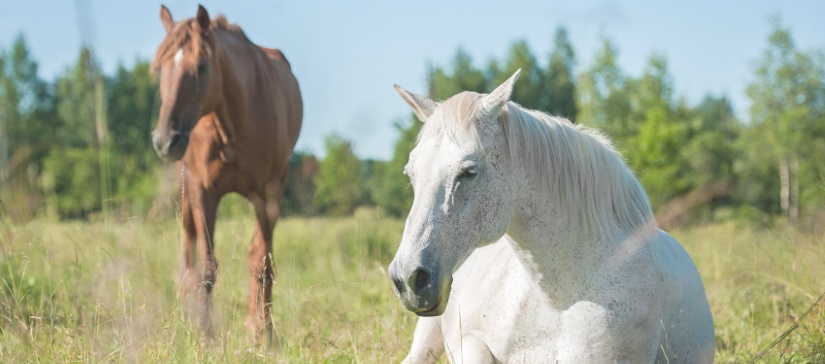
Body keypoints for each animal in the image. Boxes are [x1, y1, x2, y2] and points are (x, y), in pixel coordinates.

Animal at [150, 4, 300, 338]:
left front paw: (264, 333)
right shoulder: (202, 191)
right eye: (159, 69)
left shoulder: (268, 194)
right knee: (187, 254)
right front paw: (206, 336)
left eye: (202, 66)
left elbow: (262, 263)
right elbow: (205, 267)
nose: (165, 140)